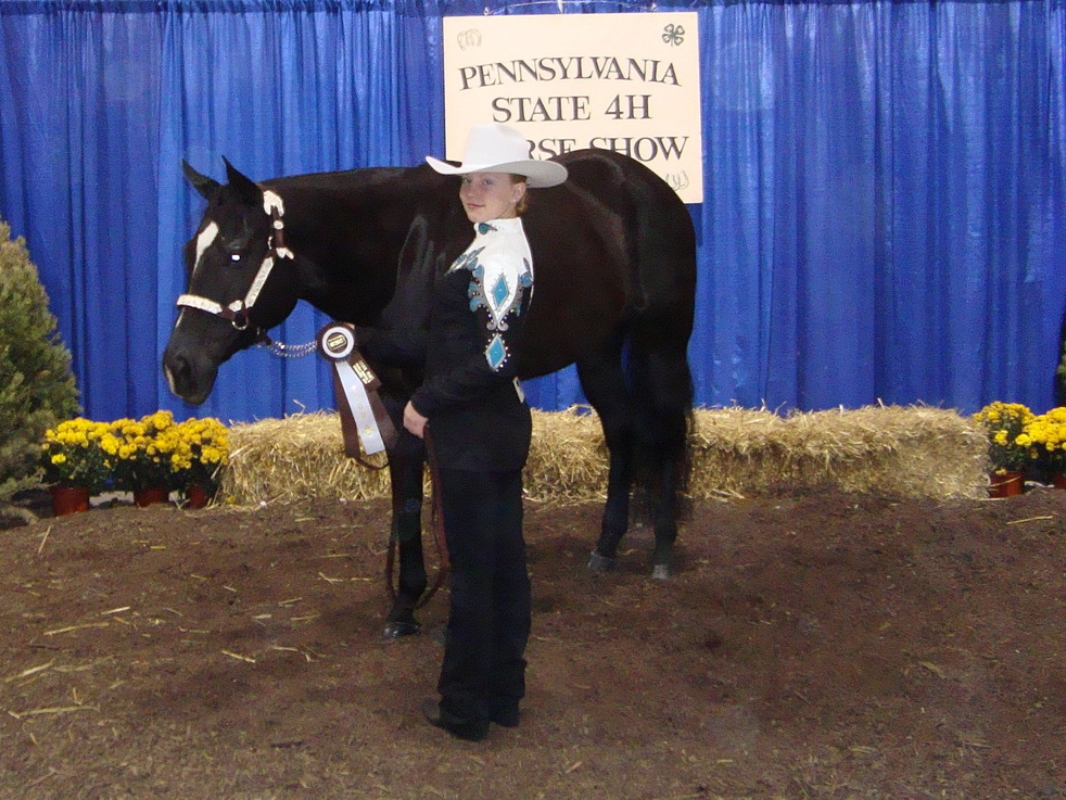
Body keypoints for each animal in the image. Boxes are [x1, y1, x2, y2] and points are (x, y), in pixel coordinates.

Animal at [159, 150, 699, 640]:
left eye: (236, 250)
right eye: (187, 251)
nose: (179, 367)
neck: (406, 251)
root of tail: (645, 185)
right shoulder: (397, 397)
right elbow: (407, 501)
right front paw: (405, 605)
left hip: (662, 343)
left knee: (666, 432)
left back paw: (663, 550)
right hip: (597, 351)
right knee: (621, 428)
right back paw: (607, 545)